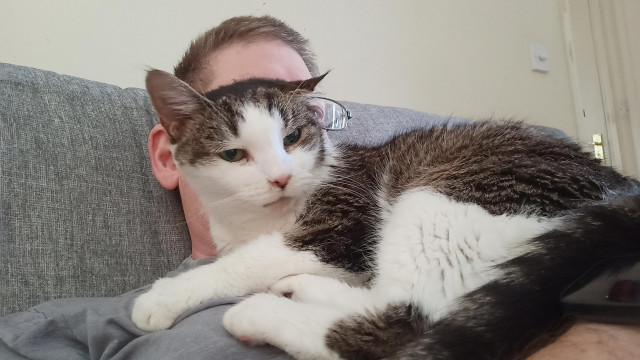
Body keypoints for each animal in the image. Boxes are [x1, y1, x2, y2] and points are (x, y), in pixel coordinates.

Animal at [131, 69, 640, 358]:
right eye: (234, 155)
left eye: (293, 137)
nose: (280, 178)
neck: (258, 219)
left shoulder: (341, 227)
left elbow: (245, 262)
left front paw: (166, 296)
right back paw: (300, 287)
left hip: (447, 193)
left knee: (407, 319)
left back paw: (262, 312)